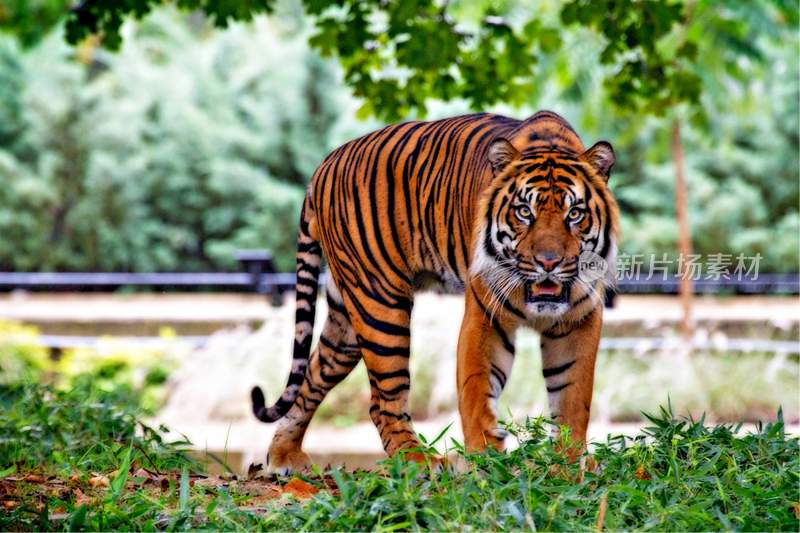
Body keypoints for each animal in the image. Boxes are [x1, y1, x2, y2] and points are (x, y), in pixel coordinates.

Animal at [250, 107, 620, 470]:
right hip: (380, 305)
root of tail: (324, 165)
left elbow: (573, 398)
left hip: (346, 322)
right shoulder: (485, 316)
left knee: (312, 376)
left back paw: (284, 456)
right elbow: (477, 390)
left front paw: (566, 466)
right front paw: (486, 463)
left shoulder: (579, 320)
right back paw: (418, 460)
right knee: (382, 400)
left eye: (575, 214)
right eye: (524, 211)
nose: (548, 262)